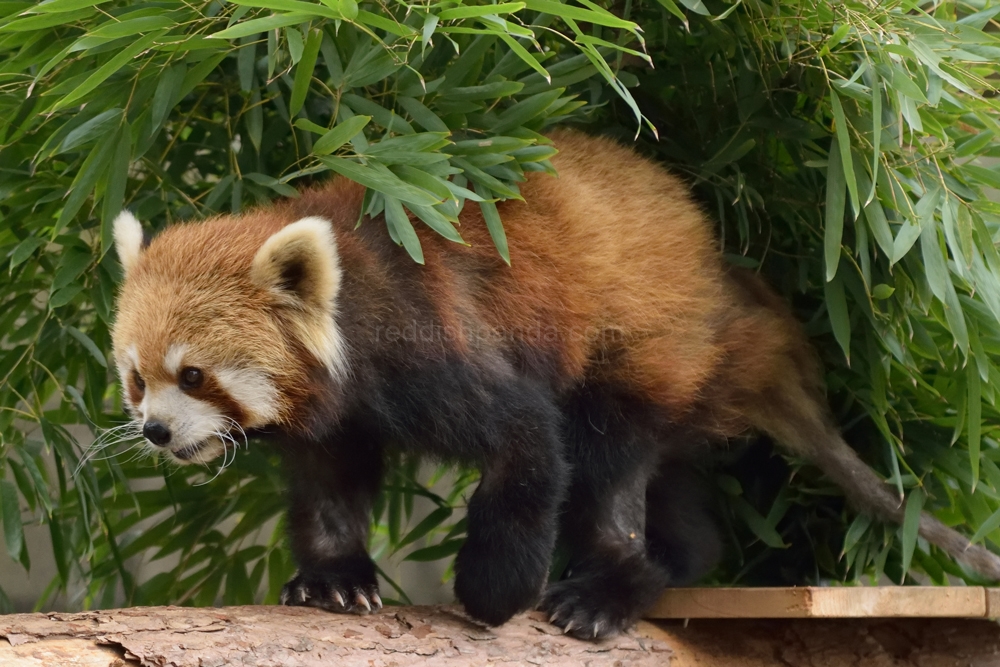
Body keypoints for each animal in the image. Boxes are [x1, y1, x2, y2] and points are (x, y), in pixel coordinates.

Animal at [109, 129, 1000, 636]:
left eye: (194, 373)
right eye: (136, 380)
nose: (156, 431)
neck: (349, 304)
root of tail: (727, 287)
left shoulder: (431, 347)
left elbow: (528, 441)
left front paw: (494, 589)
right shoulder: (338, 417)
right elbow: (331, 487)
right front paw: (334, 580)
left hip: (648, 346)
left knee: (610, 457)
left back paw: (610, 584)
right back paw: (677, 555)